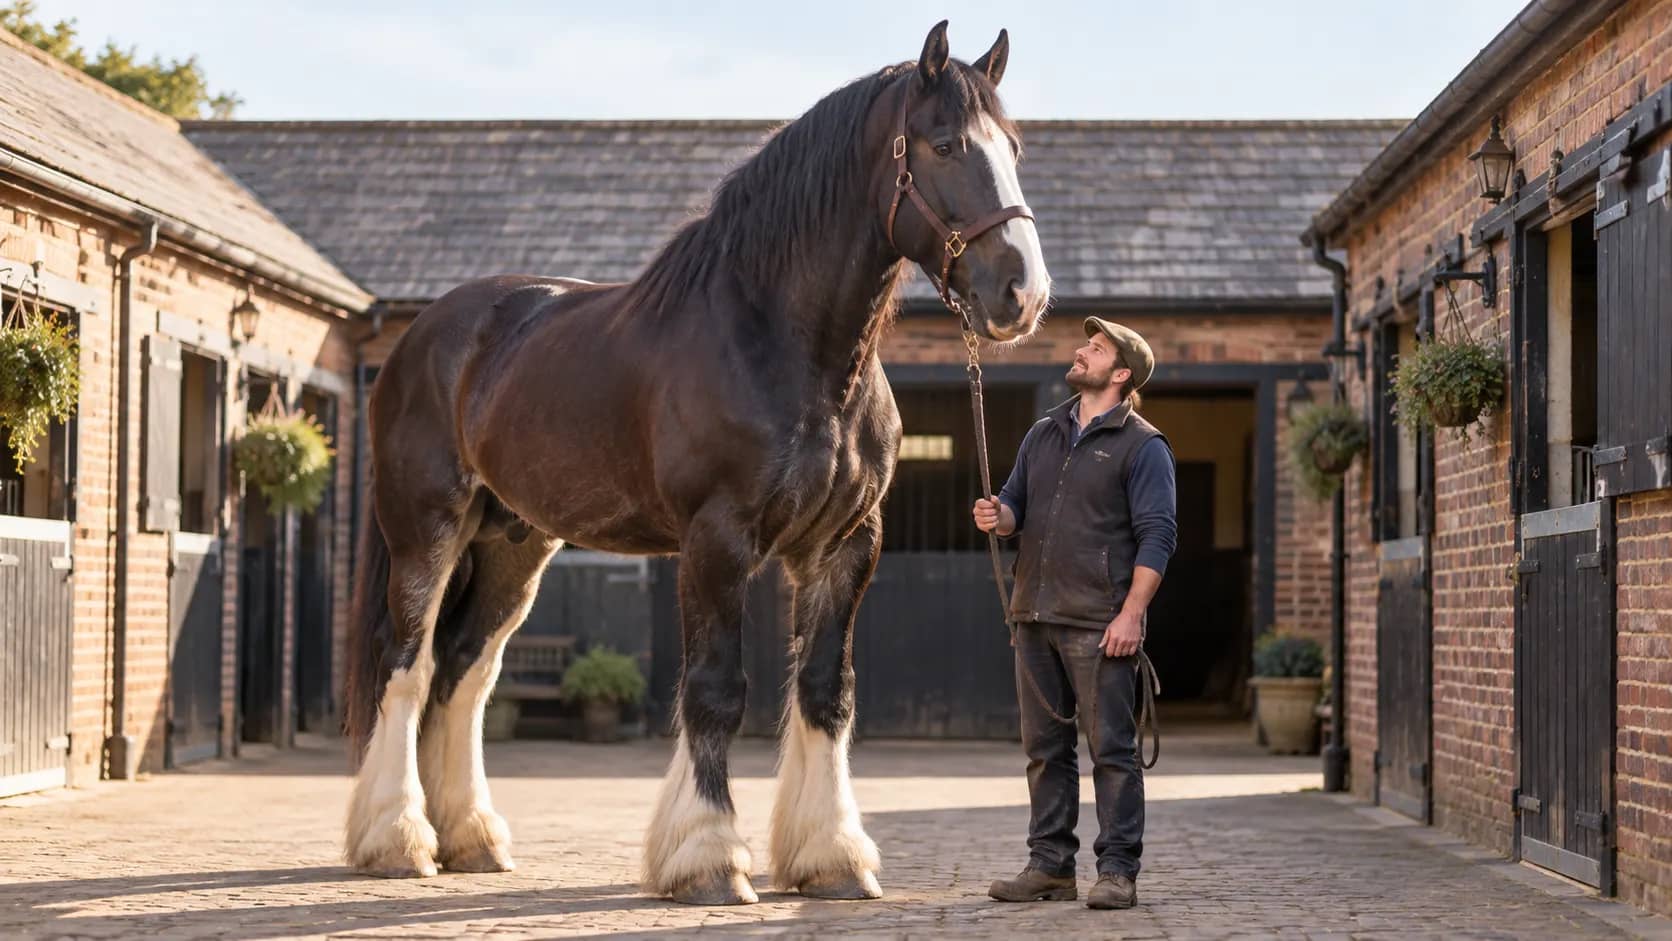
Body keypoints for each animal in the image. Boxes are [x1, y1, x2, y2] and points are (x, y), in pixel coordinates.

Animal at [341, 20, 1050, 905]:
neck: (784, 344)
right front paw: (709, 857)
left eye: (1015, 148)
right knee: (405, 666)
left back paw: (471, 837)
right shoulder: (717, 540)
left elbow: (827, 691)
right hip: (426, 531)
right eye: (946, 143)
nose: (1023, 293)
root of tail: (426, 334)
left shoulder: (846, 545)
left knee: (463, 672)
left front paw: (832, 854)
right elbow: (715, 691)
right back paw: (398, 840)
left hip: (512, 544)